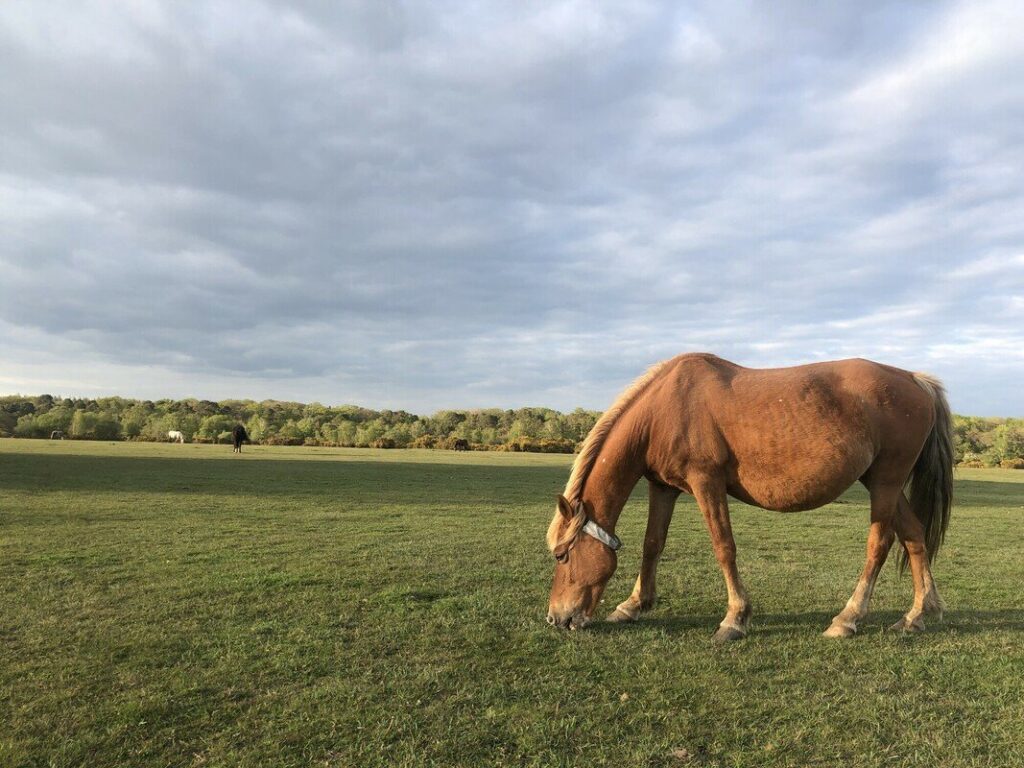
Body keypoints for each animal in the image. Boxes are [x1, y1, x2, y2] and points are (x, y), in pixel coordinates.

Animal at [546, 353, 953, 642]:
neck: (665, 408)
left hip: (885, 482)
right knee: (914, 536)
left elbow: (724, 547)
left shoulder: (706, 482)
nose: (556, 617)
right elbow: (653, 544)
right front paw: (633, 605)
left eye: (562, 555)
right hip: (883, 484)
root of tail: (914, 380)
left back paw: (847, 618)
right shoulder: (663, 487)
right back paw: (916, 615)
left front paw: (734, 619)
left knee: (879, 545)